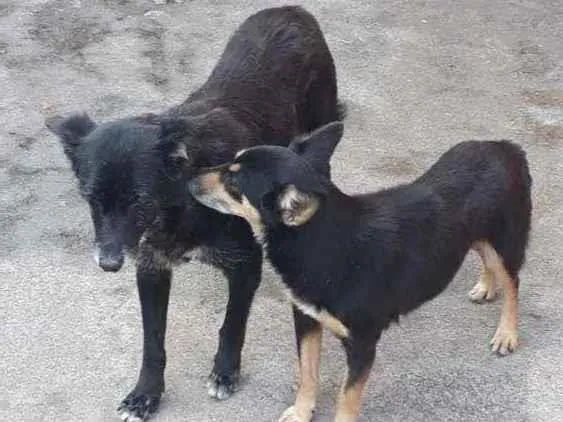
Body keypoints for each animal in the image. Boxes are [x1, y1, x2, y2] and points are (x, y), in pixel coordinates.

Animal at [45, 6, 344, 422]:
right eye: (90, 199)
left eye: (139, 200)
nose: (108, 264)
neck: (179, 207)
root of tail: (292, 10)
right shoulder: (151, 267)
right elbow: (152, 341)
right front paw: (145, 394)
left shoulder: (245, 264)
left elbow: (232, 324)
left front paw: (225, 373)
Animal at [188, 120, 532, 420]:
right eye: (230, 162)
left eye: (233, 182)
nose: (188, 178)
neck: (323, 242)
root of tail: (505, 146)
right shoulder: (306, 320)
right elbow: (308, 374)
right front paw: (301, 412)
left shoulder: (362, 345)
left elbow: (346, 399)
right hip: (478, 237)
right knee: (487, 258)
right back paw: (487, 286)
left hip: (506, 244)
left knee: (513, 283)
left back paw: (507, 333)